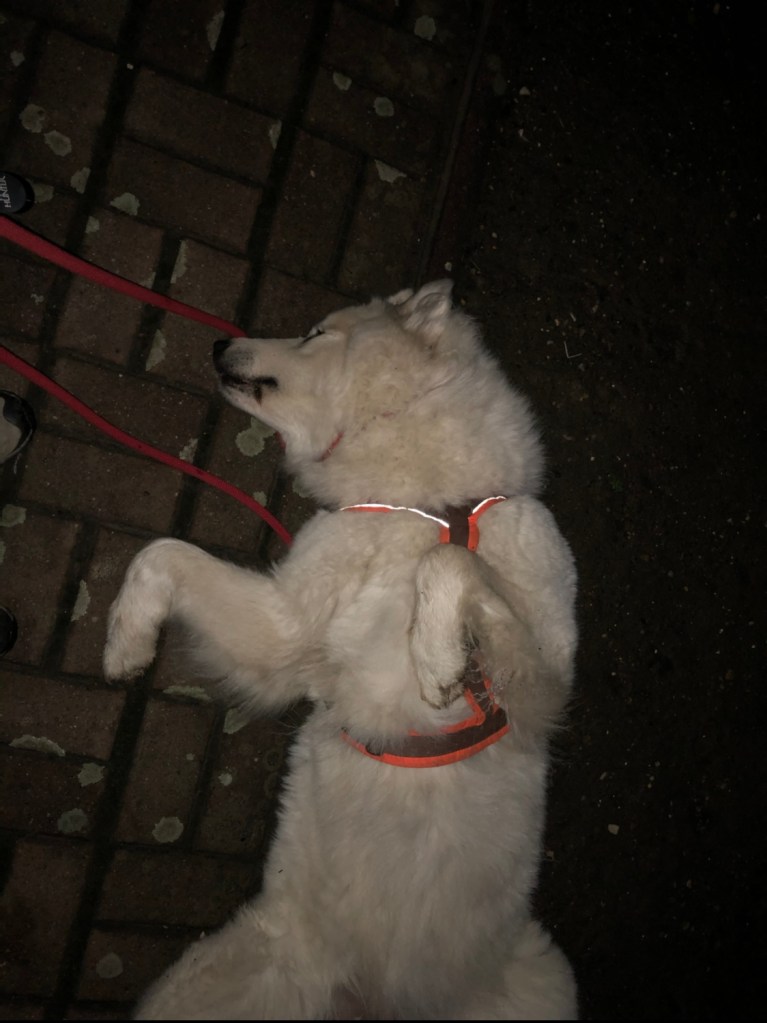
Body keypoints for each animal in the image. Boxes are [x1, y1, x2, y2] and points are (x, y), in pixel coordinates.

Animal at [103, 281, 578, 1019]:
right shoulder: (285, 627)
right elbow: (161, 552)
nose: (218, 341)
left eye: (314, 332)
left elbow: (450, 564)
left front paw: (437, 660)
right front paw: (125, 638)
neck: (425, 503)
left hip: (543, 978)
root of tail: (369, 1001)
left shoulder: (542, 689)